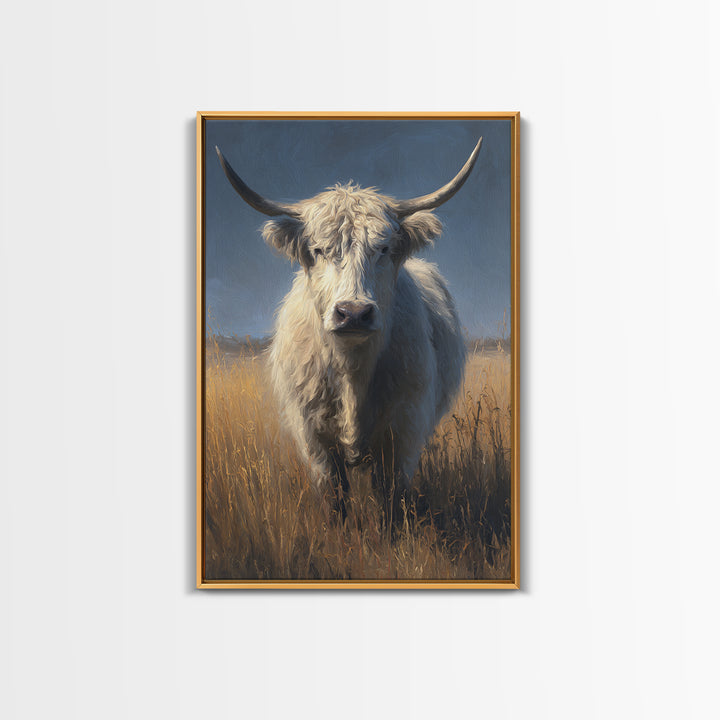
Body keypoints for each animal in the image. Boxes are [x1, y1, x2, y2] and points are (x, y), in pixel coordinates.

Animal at [216, 138, 482, 509]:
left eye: (383, 248)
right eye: (318, 249)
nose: (353, 312)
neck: (352, 370)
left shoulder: (403, 433)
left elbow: (390, 499)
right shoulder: (315, 440)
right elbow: (335, 499)